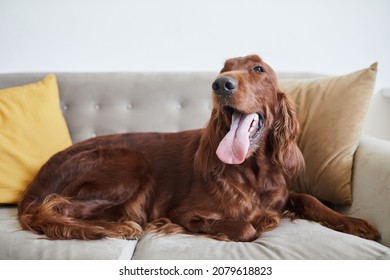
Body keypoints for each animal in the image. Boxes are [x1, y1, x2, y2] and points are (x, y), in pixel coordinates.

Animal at [17, 55, 378, 243]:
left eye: (258, 69)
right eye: (224, 69)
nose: (221, 85)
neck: (253, 171)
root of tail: (35, 182)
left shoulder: (282, 193)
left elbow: (309, 199)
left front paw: (356, 223)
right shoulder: (183, 212)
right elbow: (245, 227)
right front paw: (261, 223)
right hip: (130, 165)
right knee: (50, 209)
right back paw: (116, 226)